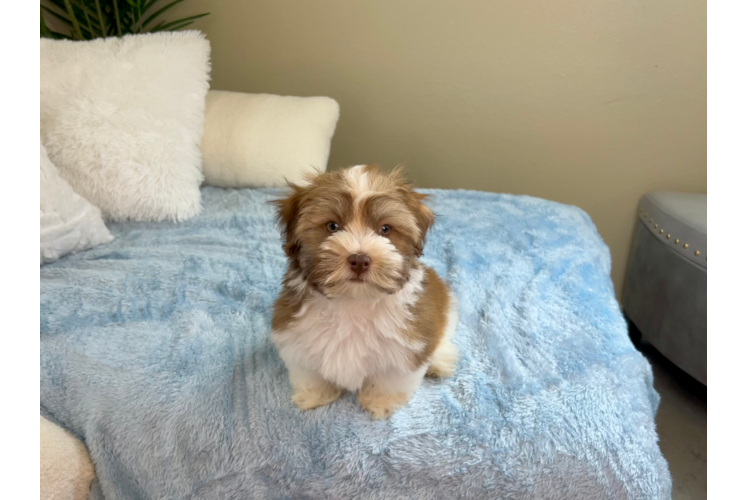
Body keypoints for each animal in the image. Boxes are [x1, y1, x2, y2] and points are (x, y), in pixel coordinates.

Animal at [268, 164, 456, 418]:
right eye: (332, 226)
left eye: (385, 229)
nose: (359, 260)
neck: (353, 302)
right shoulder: (296, 337)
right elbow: (309, 372)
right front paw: (315, 395)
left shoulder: (407, 346)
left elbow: (391, 379)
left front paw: (380, 401)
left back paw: (439, 362)